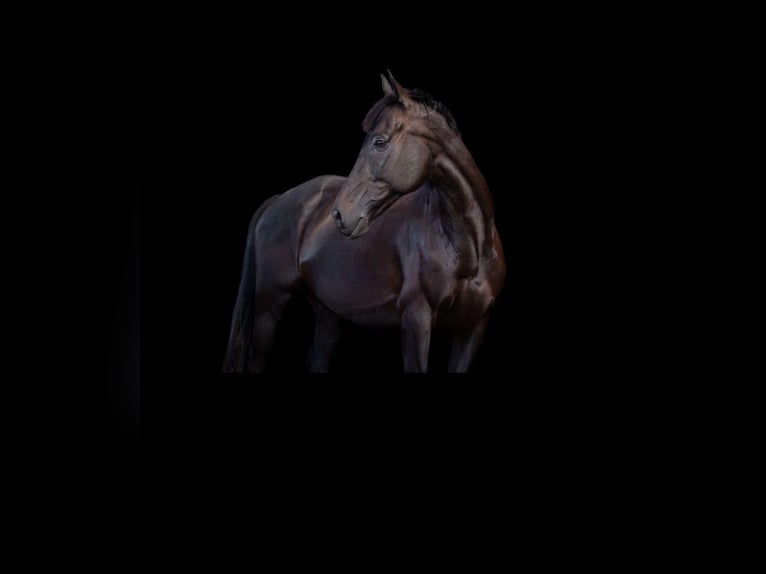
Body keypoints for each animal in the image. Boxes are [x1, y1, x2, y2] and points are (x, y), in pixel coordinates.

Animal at [223, 71, 505, 373]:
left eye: (379, 142)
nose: (339, 214)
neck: (465, 246)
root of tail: (276, 201)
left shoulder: (472, 330)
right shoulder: (416, 318)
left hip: (328, 313)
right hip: (269, 306)